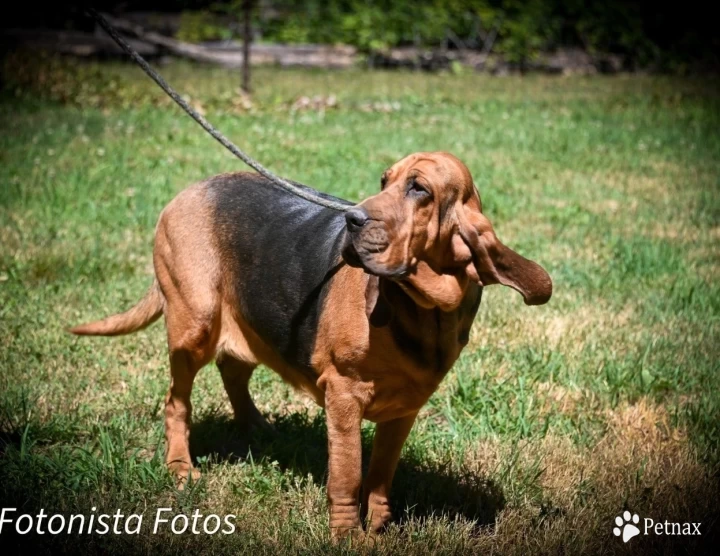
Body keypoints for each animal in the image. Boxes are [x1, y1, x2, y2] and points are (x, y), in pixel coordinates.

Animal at [71, 151, 552, 540]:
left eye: (419, 189)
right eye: (384, 180)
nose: (352, 219)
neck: (423, 307)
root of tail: (187, 192)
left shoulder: (405, 409)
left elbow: (381, 475)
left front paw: (378, 526)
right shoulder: (343, 397)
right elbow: (347, 476)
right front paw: (347, 536)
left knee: (233, 371)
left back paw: (257, 427)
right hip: (195, 326)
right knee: (176, 401)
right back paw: (181, 468)